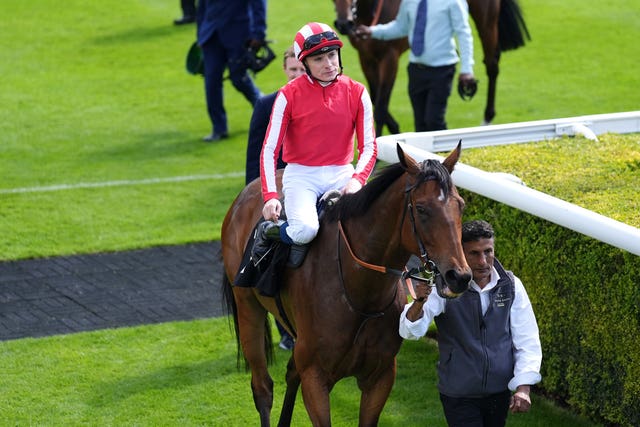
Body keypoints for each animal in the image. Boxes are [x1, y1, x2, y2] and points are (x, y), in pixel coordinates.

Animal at [220, 145, 470, 427]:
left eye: (460, 205)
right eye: (422, 208)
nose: (459, 276)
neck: (361, 293)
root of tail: (246, 193)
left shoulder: (380, 376)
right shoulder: (316, 378)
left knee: (291, 372)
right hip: (248, 307)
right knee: (262, 387)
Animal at [336, 0, 528, 132]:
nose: (344, 24)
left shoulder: (390, 57)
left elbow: (381, 106)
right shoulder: (366, 57)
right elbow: (373, 98)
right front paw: (396, 130)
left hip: (486, 17)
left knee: (491, 64)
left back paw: (487, 118)